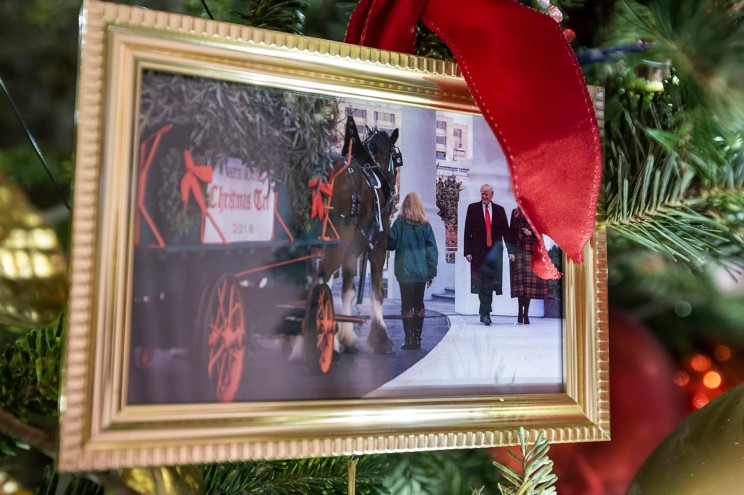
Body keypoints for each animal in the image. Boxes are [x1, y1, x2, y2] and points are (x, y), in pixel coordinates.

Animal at [320, 115, 402, 356]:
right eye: (397, 158)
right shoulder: (378, 246)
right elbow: (377, 291)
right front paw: (381, 338)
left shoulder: (353, 250)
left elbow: (347, 290)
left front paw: (347, 337)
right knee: (322, 278)